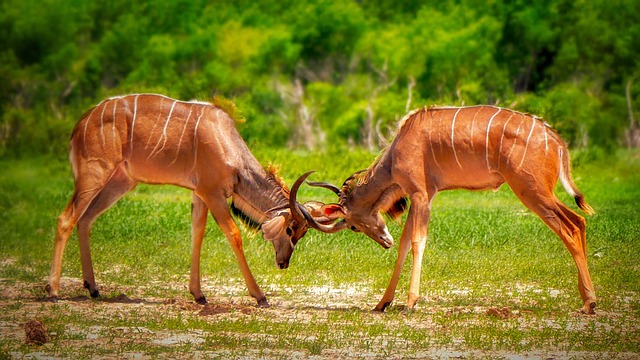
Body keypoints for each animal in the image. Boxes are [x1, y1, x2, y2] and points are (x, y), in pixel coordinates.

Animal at [45, 93, 328, 306]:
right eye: (290, 229)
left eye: (302, 233)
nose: (283, 263)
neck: (226, 142)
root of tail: (80, 124)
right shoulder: (212, 194)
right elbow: (233, 235)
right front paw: (259, 295)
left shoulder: (199, 194)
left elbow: (197, 233)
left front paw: (199, 294)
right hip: (94, 176)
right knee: (66, 219)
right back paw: (53, 290)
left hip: (120, 182)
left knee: (85, 220)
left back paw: (93, 288)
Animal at [304, 105, 596, 314]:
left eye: (353, 226)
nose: (384, 241)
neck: (397, 149)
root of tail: (556, 141)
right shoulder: (422, 197)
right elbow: (404, 244)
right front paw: (382, 303)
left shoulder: (421, 195)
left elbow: (417, 242)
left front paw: (410, 303)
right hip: (543, 193)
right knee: (579, 221)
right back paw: (586, 298)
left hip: (532, 193)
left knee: (569, 229)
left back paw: (589, 303)